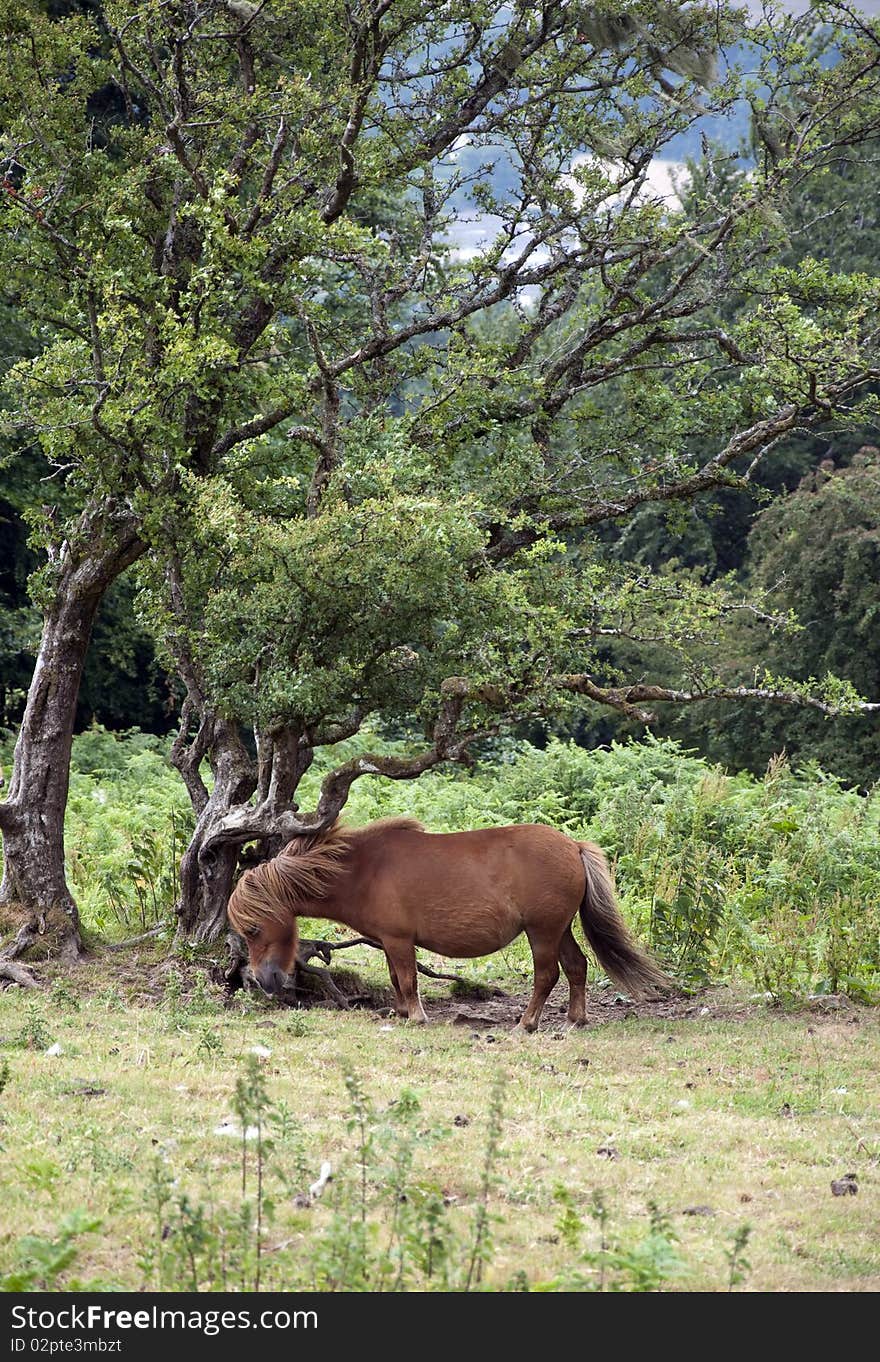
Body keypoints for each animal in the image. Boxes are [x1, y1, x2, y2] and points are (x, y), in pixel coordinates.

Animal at [227, 817, 670, 1029]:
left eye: (253, 929)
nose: (263, 982)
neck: (361, 869)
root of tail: (573, 846)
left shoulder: (399, 940)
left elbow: (408, 980)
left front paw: (416, 1017)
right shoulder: (388, 942)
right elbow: (396, 980)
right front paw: (401, 1013)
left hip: (542, 932)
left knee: (547, 976)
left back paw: (527, 1024)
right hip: (558, 930)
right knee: (577, 968)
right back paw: (575, 1020)